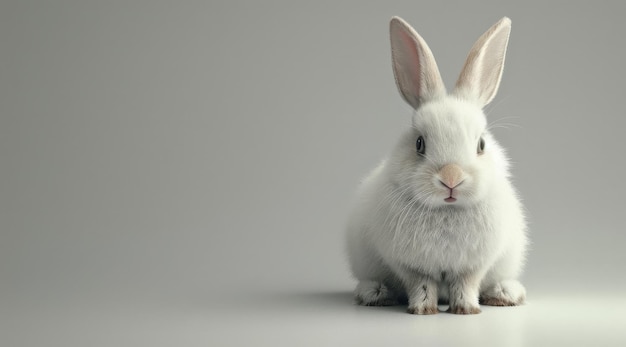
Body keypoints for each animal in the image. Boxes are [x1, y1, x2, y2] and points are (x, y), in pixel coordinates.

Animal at [346, 16, 528, 316]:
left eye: (481, 144)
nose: (451, 178)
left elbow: (466, 285)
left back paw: (505, 294)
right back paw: (376, 293)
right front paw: (423, 310)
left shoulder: (473, 266)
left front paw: (466, 309)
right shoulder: (410, 266)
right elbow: (421, 286)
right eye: (419, 143)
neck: (447, 211)